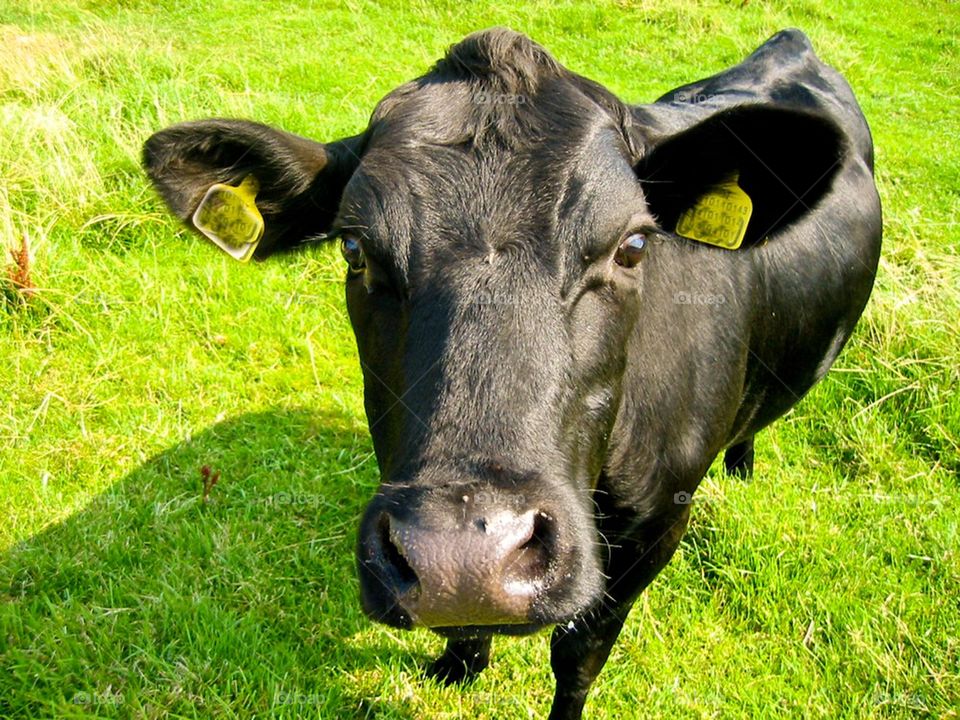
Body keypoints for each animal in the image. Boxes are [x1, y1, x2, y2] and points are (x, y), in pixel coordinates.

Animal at [143, 27, 882, 720]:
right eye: (354, 248)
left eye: (633, 245)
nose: (463, 557)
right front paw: (460, 663)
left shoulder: (656, 527)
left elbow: (579, 653)